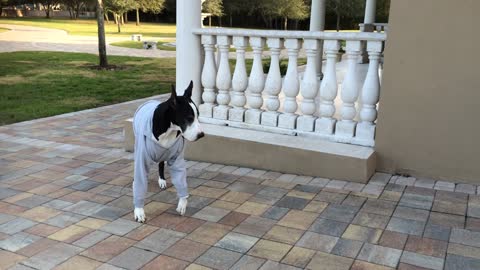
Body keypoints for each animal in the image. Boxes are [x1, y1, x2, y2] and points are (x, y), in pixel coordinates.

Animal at [132, 81, 203, 223]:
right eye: (189, 118)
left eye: (198, 116)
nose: (201, 135)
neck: (168, 130)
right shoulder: (141, 159)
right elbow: (140, 182)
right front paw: (139, 211)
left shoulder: (177, 159)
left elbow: (180, 180)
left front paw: (182, 203)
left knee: (160, 164)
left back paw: (162, 180)